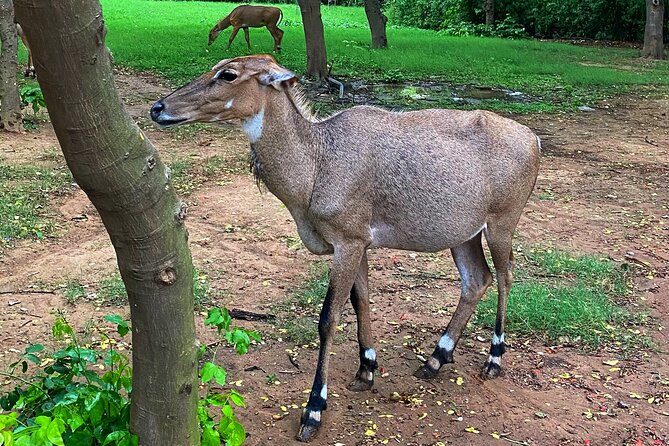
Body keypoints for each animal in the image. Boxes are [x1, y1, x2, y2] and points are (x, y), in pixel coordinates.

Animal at [150, 55, 536, 440]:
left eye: (228, 74)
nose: (158, 108)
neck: (316, 164)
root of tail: (534, 139)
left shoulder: (347, 242)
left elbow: (328, 318)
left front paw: (313, 410)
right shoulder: (359, 244)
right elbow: (361, 300)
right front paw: (366, 369)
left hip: (501, 223)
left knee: (505, 276)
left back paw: (493, 359)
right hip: (464, 234)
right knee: (477, 279)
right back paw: (435, 359)